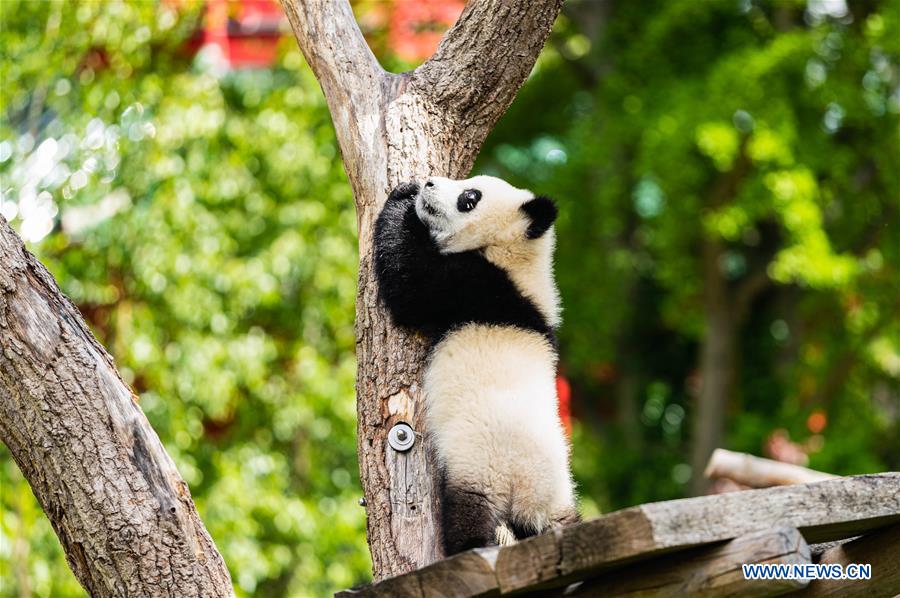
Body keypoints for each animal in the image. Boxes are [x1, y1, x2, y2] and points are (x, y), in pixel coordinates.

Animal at [370, 175, 576, 556]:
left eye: (470, 198)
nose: (429, 182)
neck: (517, 256)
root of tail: (526, 491)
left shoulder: (475, 287)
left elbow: (412, 287)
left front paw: (403, 199)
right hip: (558, 496)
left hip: (479, 465)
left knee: (467, 516)